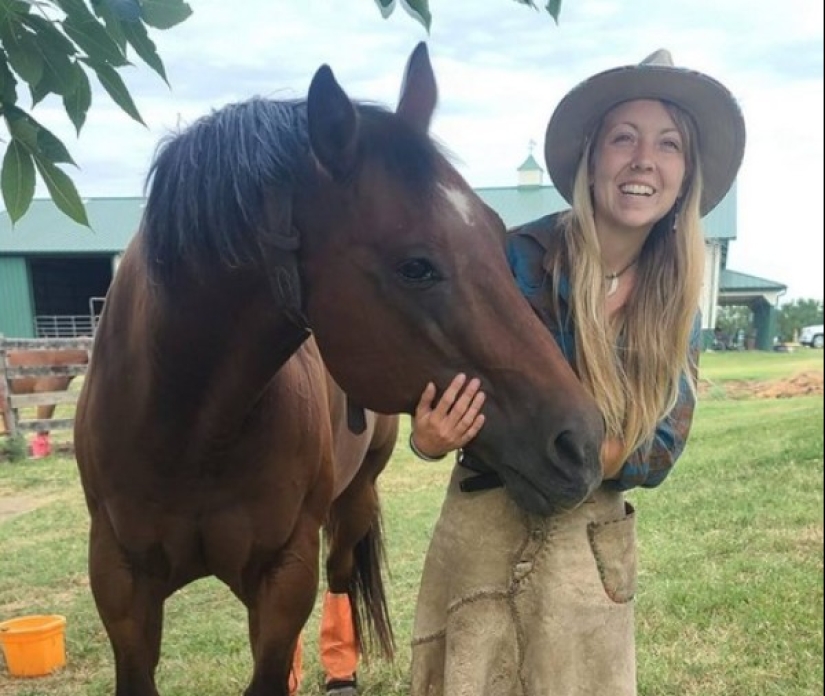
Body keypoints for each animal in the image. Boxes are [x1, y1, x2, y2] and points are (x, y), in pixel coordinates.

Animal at [74, 39, 600, 696]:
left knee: (342, 575)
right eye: (416, 266)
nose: (580, 442)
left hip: (353, 504)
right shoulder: (121, 588)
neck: (186, 425)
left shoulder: (284, 577)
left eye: (496, 234)